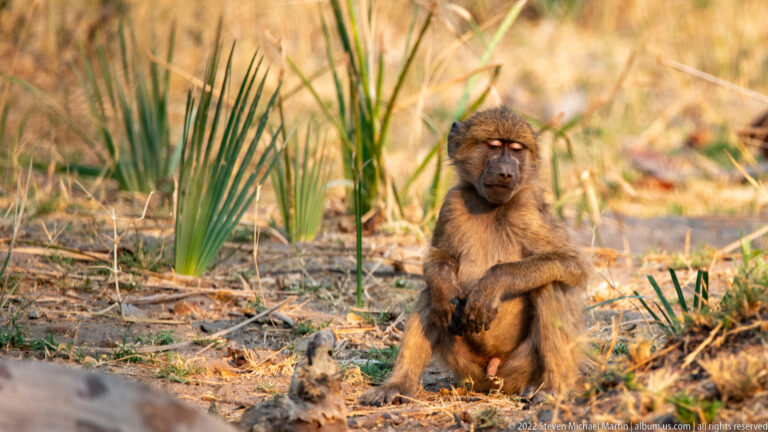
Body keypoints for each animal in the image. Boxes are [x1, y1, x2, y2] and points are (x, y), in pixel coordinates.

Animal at [360, 107, 592, 406]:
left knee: (550, 285)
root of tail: (493, 376)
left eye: (516, 149)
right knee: (430, 295)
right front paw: (445, 286)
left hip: (521, 367)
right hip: (467, 367)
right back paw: (397, 386)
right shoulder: (452, 203)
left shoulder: (529, 211)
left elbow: (573, 263)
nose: (505, 173)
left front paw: (490, 286)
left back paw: (553, 389)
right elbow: (440, 259)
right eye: (493, 145)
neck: (490, 205)